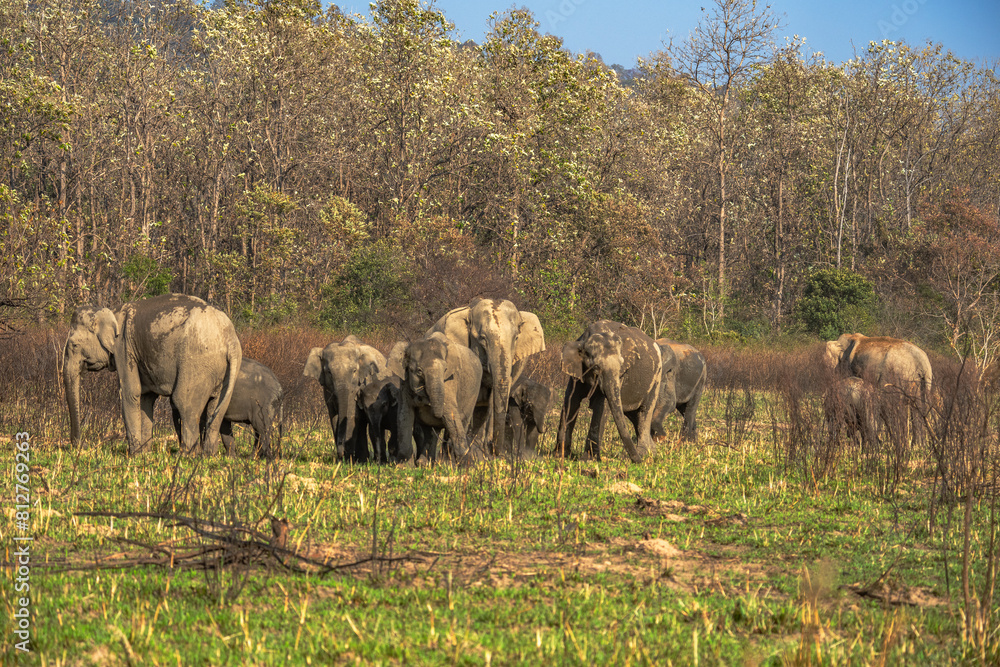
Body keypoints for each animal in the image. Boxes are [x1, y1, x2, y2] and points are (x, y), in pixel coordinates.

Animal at [63, 293, 242, 455]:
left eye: (74, 345)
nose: (82, 445)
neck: (111, 311)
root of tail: (230, 339)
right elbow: (145, 398)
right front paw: (145, 454)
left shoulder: (124, 348)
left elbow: (130, 393)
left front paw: (134, 455)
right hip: (223, 372)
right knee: (216, 409)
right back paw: (208, 455)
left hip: (196, 365)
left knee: (184, 403)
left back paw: (187, 456)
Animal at [397, 332, 485, 465]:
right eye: (419, 371)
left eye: (445, 370)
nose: (423, 400)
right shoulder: (404, 383)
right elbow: (405, 414)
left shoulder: (449, 381)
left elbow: (450, 413)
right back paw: (426, 462)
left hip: (473, 393)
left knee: (460, 421)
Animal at [556, 320, 663, 463]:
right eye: (596, 367)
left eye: (622, 366)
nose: (636, 461)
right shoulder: (576, 371)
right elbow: (571, 401)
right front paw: (559, 455)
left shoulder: (621, 377)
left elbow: (602, 406)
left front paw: (587, 460)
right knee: (633, 414)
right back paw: (651, 452)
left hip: (657, 378)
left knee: (645, 412)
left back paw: (644, 453)